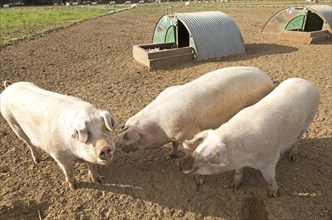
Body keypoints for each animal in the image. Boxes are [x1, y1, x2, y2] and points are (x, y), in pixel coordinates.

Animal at [116, 66, 278, 157]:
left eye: (126, 136)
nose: (116, 144)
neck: (158, 126)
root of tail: (268, 79)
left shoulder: (188, 132)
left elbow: (188, 147)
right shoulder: (174, 136)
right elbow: (174, 145)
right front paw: (169, 156)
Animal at [178, 78, 320, 198]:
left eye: (209, 157)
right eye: (197, 149)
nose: (180, 165)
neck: (244, 157)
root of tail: (309, 83)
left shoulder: (270, 160)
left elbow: (270, 179)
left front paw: (274, 195)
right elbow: (238, 171)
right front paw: (233, 186)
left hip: (309, 119)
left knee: (297, 140)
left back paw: (292, 158)